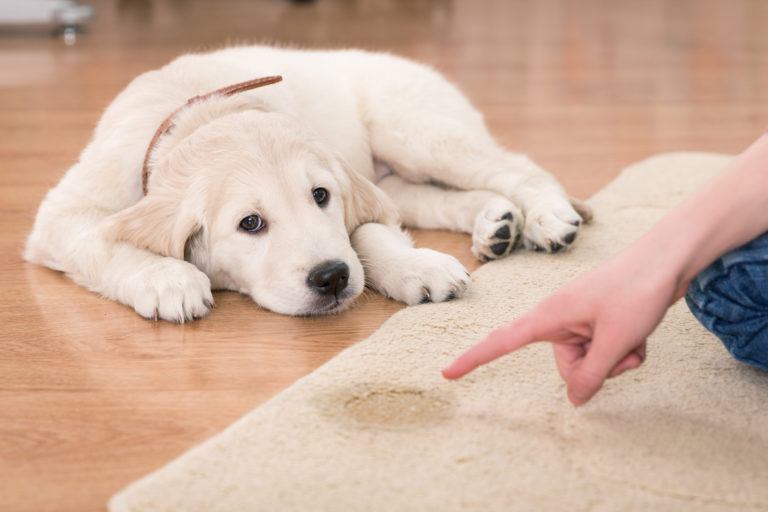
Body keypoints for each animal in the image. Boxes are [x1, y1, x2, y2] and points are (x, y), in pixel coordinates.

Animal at [24, 46, 588, 322]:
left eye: (321, 196)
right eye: (250, 223)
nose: (332, 278)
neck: (202, 113)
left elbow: (366, 233)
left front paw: (415, 266)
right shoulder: (64, 215)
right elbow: (102, 242)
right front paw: (168, 280)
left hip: (415, 131)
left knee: (518, 167)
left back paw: (546, 217)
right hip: (399, 172)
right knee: (435, 199)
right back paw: (496, 223)